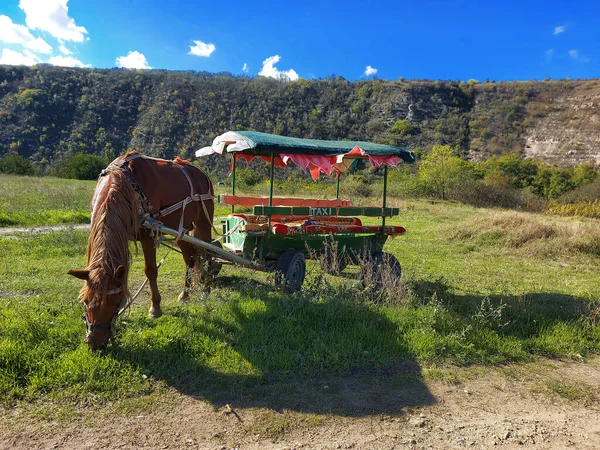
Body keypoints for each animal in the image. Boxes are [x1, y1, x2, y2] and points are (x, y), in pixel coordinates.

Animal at [67, 153, 214, 350]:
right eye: (85, 300)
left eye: (116, 301)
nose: (95, 343)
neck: (125, 184)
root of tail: (202, 173)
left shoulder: (147, 235)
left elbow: (150, 271)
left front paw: (155, 308)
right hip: (181, 229)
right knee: (190, 258)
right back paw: (185, 293)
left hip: (203, 221)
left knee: (208, 256)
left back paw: (206, 289)